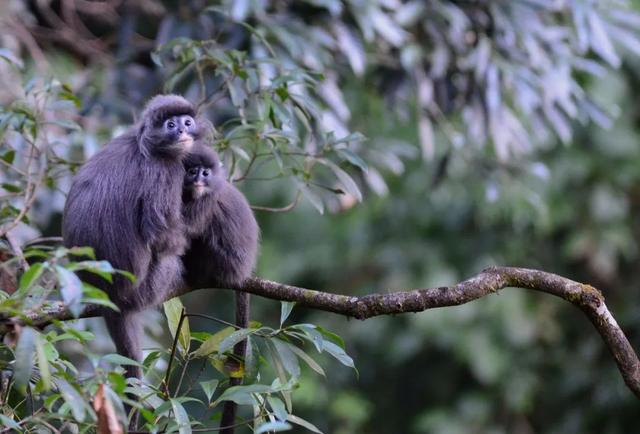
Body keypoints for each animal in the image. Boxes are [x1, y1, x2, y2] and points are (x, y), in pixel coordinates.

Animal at [61, 94, 204, 380]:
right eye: (171, 125)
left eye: (187, 122)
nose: (182, 131)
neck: (143, 143)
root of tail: (112, 297)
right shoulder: (165, 171)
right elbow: (163, 237)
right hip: (150, 287)